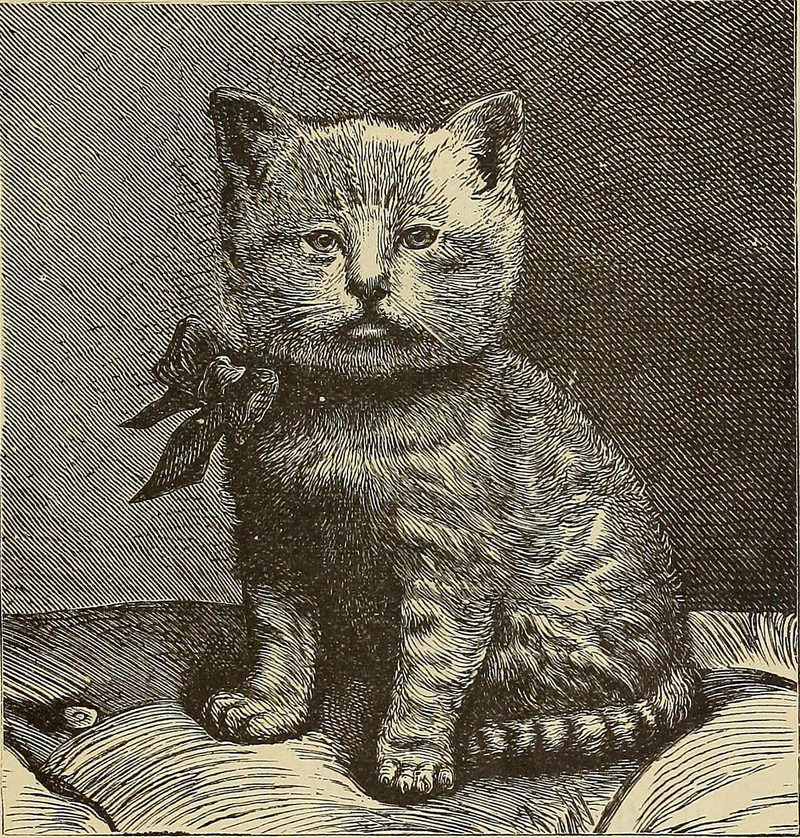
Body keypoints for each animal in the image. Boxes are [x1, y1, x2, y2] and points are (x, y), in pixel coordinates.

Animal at [200, 86, 697, 799]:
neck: (356, 412)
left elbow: (429, 670)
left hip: (552, 622)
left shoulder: (451, 568)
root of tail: (681, 648)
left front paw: (410, 755)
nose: (369, 286)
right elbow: (280, 635)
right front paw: (268, 705)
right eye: (323, 240)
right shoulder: (278, 541)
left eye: (418, 238)